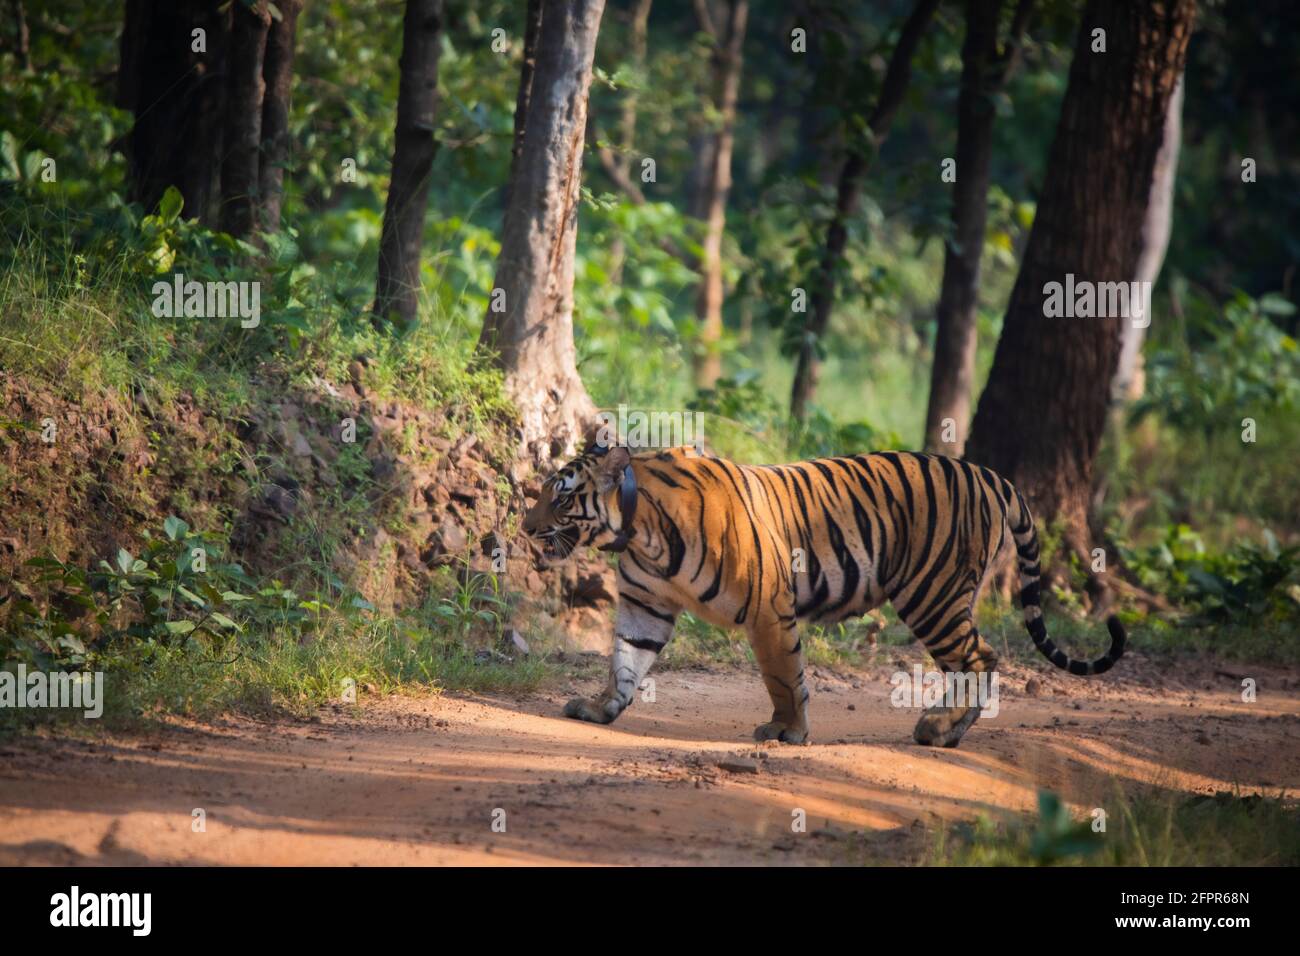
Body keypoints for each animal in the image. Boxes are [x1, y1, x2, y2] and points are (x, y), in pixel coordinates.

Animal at [522, 444, 1123, 749]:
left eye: (561, 496)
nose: (525, 528)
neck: (637, 527)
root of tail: (990, 474)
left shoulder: (768, 607)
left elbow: (783, 676)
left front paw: (787, 730)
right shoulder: (645, 605)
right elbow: (625, 659)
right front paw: (601, 708)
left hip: (931, 593)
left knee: (982, 657)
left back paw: (940, 729)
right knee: (975, 659)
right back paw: (949, 728)